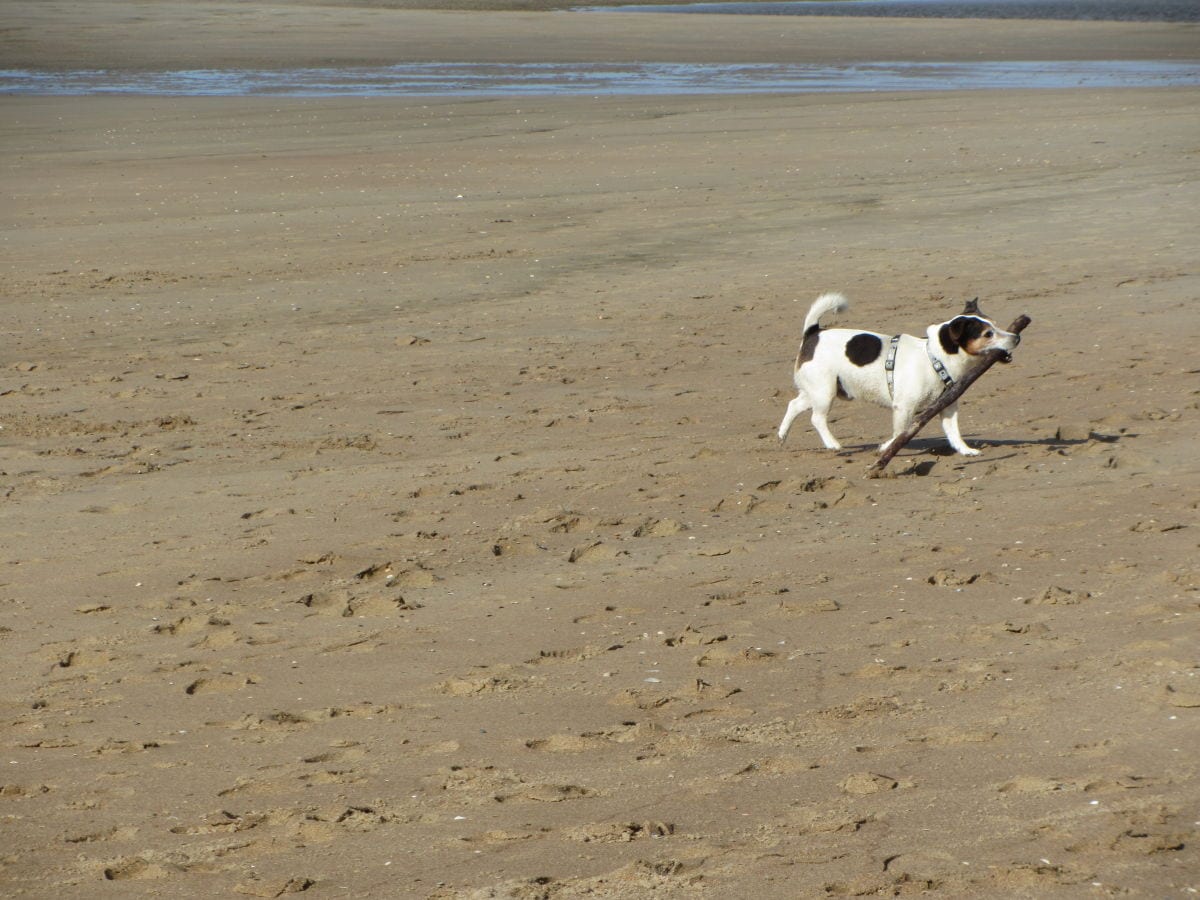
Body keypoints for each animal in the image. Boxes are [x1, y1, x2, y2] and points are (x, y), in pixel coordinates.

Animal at [777, 296, 1022, 458]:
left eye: (997, 326)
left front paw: (965, 450)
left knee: (793, 405)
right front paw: (887, 448)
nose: (1016, 337)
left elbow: (954, 432)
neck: (935, 357)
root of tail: (813, 333)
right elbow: (900, 432)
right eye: (987, 334)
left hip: (819, 390)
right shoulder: (904, 407)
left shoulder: (948, 407)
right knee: (816, 418)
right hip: (825, 392)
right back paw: (832, 444)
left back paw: (782, 435)